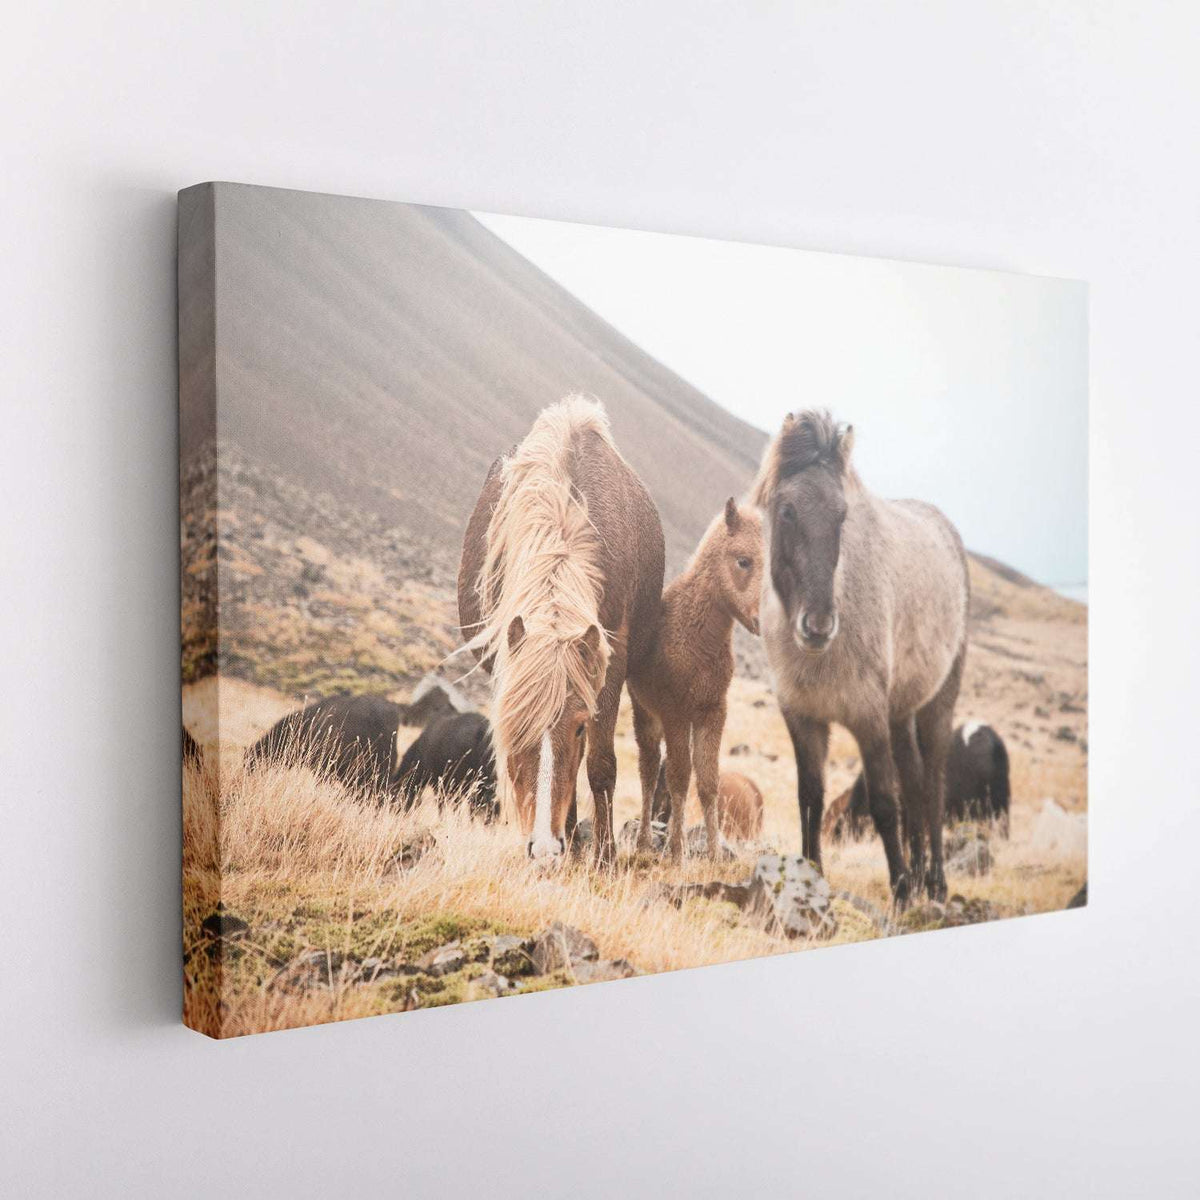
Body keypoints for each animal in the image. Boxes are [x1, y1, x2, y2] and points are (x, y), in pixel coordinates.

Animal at [458, 397, 664, 865]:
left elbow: (600, 763)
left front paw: (605, 857)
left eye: (579, 727)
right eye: (515, 725)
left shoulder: (610, 660)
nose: (545, 849)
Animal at [627, 498, 763, 862]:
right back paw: (645, 841)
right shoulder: (674, 712)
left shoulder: (712, 712)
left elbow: (707, 782)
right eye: (743, 560)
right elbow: (678, 778)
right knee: (648, 769)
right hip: (645, 714)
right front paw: (677, 851)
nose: (760, 620)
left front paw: (714, 852)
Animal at [754, 411, 968, 903]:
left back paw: (934, 882)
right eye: (787, 510)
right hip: (901, 712)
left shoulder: (868, 718)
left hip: (938, 704)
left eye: (841, 515)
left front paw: (901, 891)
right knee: (914, 781)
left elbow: (884, 803)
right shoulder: (803, 717)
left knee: (931, 786)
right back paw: (922, 872)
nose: (818, 626)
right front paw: (811, 873)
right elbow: (810, 796)